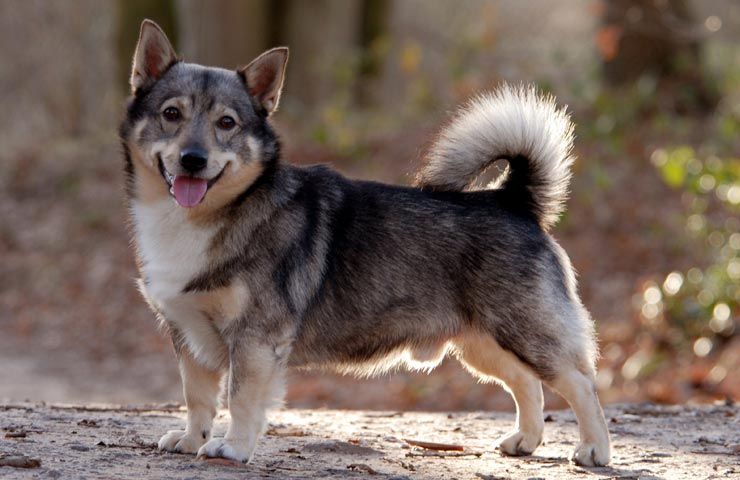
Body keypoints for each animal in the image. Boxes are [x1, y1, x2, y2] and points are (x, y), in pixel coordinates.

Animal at [121, 20, 612, 466]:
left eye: (226, 123)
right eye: (171, 114)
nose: (193, 159)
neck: (208, 218)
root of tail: (512, 198)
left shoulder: (255, 340)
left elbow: (241, 399)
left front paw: (234, 447)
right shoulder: (188, 337)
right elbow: (197, 398)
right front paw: (192, 439)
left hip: (524, 333)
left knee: (581, 383)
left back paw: (594, 449)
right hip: (483, 343)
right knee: (527, 384)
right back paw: (525, 440)